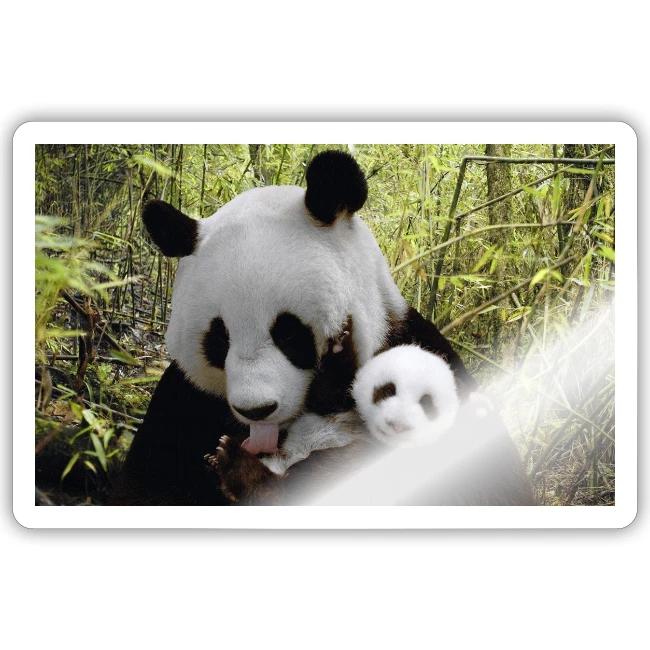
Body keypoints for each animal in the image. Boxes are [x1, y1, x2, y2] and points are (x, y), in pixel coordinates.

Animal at [111, 150, 531, 506]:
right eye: (219, 339)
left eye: (289, 333)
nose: (257, 410)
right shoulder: (185, 401)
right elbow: (145, 485)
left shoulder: (417, 350)